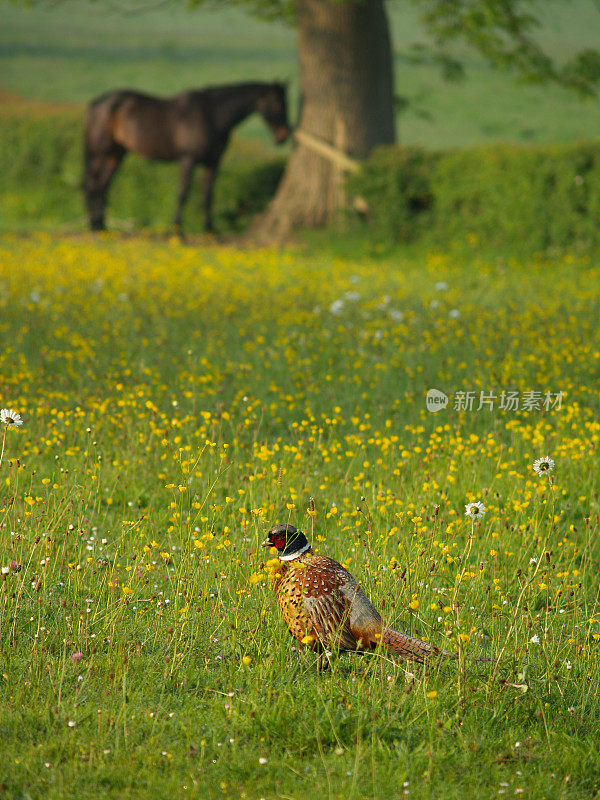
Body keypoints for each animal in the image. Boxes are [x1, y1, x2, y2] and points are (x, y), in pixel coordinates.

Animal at [84, 84, 290, 234]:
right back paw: (94, 224)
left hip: (117, 153)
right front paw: (176, 229)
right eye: (277, 104)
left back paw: (101, 225)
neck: (212, 115)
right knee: (92, 184)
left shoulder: (213, 163)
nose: (283, 136)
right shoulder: (188, 159)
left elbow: (208, 196)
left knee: (103, 185)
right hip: (100, 152)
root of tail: (96, 103)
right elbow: (183, 192)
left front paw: (210, 229)